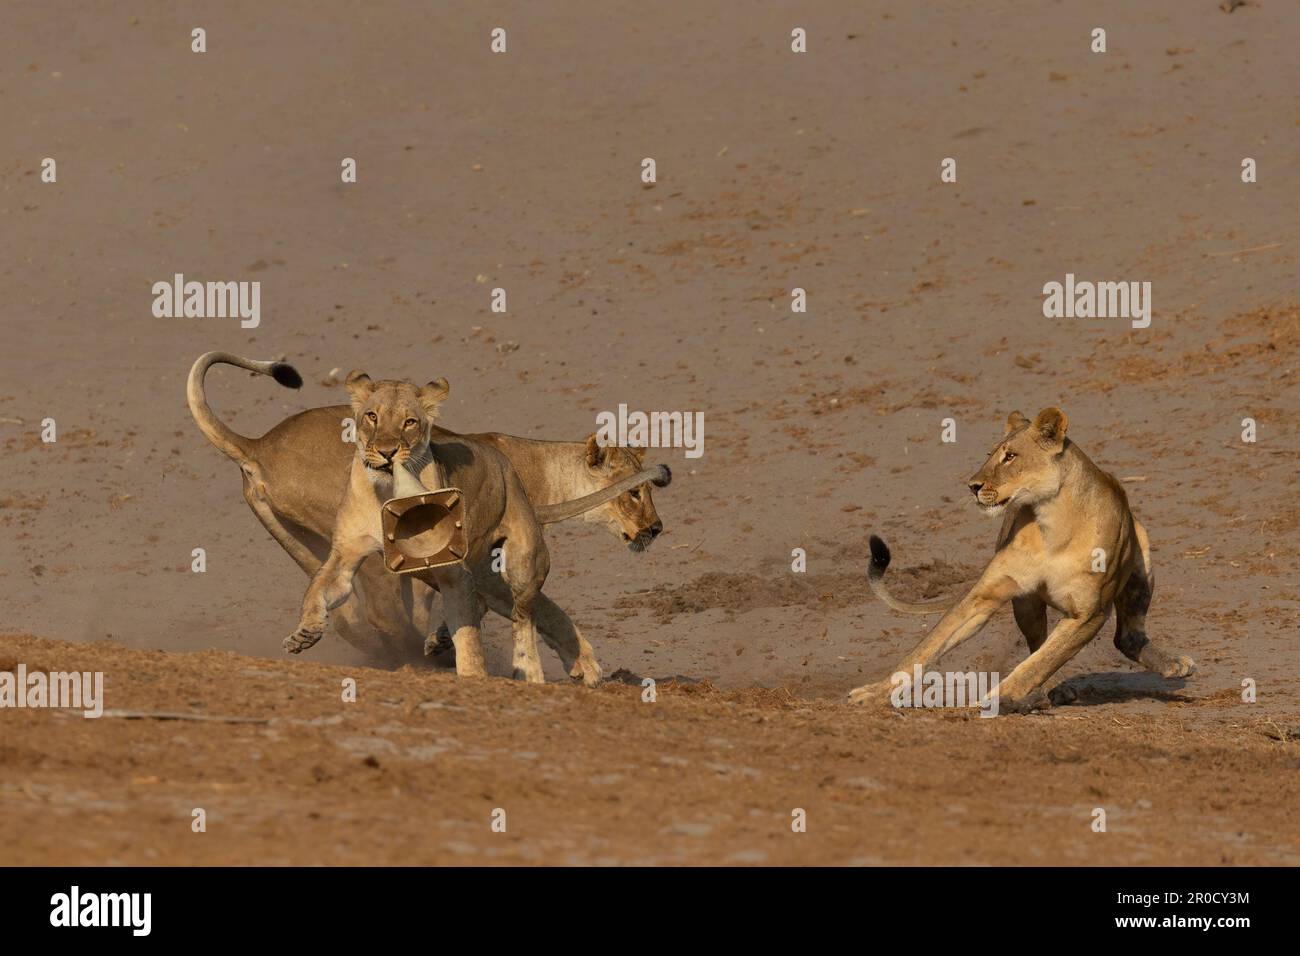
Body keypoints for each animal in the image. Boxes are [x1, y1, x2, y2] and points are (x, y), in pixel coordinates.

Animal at [187, 352, 669, 676]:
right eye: (635, 493)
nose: (656, 528)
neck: (537, 468)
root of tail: (258, 445)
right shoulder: (486, 564)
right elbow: (544, 610)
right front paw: (585, 665)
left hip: (304, 543)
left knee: (349, 617)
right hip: (366, 552)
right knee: (383, 614)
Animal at [849, 407, 1196, 713]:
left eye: (1010, 456)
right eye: (990, 454)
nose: (973, 486)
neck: (1052, 523)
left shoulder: (1089, 613)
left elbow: (1039, 663)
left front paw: (993, 699)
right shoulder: (984, 595)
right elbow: (927, 646)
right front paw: (873, 692)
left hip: (1142, 556)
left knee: (1126, 637)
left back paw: (1174, 665)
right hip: (1026, 604)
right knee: (1039, 642)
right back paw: (1047, 693)